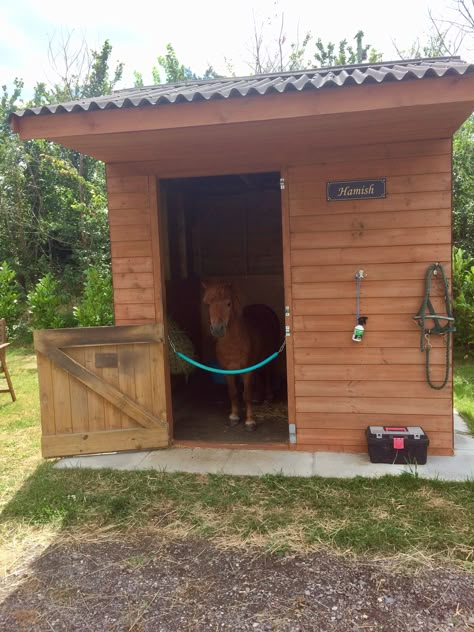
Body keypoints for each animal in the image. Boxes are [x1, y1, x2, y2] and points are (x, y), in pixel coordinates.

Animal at [202, 284, 280, 432]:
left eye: (228, 303)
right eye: (208, 304)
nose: (217, 329)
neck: (233, 343)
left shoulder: (247, 371)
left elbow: (246, 395)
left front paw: (250, 421)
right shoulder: (227, 371)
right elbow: (233, 392)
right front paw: (234, 417)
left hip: (269, 356)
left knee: (267, 373)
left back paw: (268, 396)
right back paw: (258, 397)